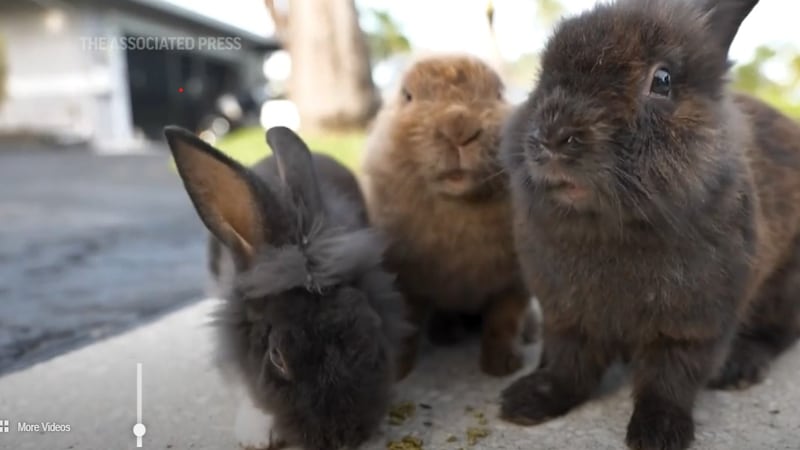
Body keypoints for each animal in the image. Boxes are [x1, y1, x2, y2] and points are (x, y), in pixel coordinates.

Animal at [362, 54, 536, 378]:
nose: (459, 128)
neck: (459, 205)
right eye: (407, 96)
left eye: (499, 94)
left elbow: (503, 322)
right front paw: (398, 371)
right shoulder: (406, 280)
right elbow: (406, 326)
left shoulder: (514, 282)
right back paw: (446, 334)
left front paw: (502, 366)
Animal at [498, 0, 800, 449]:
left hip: (785, 283)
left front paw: (658, 432)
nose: (552, 136)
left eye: (662, 80)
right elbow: (571, 366)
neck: (612, 228)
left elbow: (669, 377)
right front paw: (526, 401)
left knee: (777, 332)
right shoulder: (566, 315)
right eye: (542, 76)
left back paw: (740, 368)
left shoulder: (692, 326)